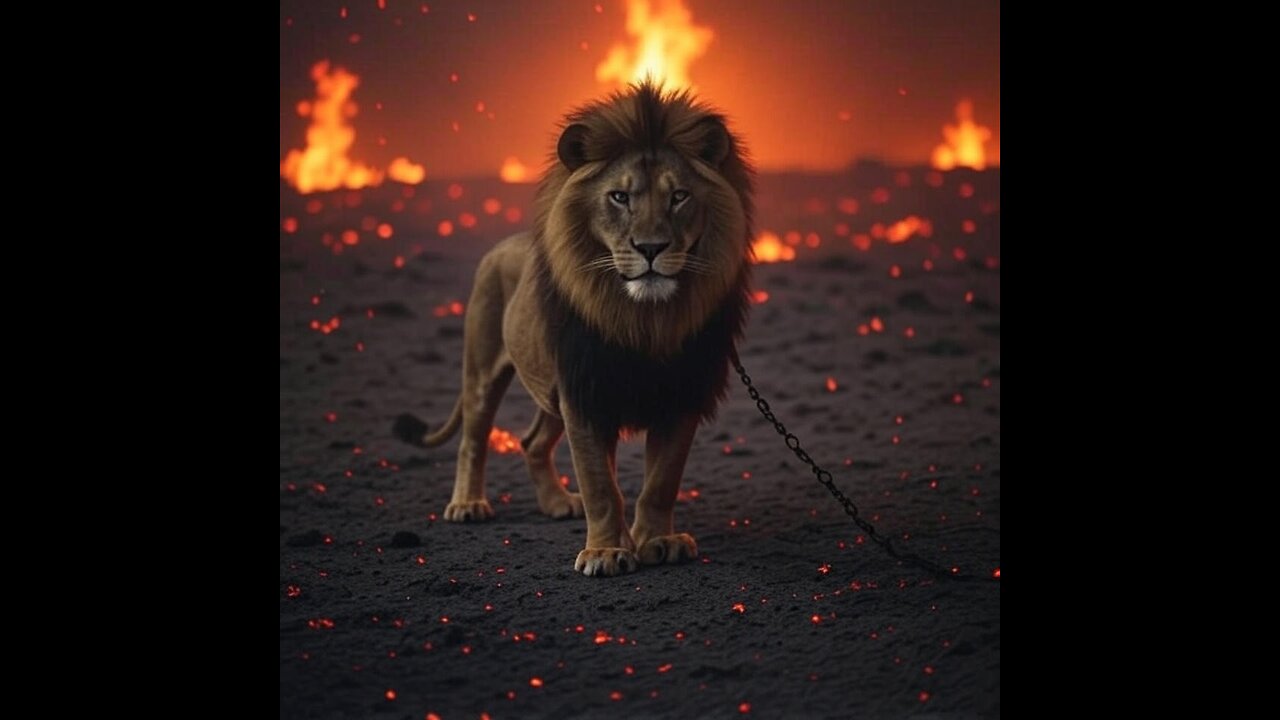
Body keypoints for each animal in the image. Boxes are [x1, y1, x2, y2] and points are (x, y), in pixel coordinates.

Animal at [396, 80, 754, 577]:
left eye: (679, 196)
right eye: (619, 197)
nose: (650, 248)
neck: (647, 318)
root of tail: (504, 245)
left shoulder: (680, 394)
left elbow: (660, 481)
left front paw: (656, 541)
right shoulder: (585, 394)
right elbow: (601, 485)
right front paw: (606, 551)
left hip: (550, 392)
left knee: (531, 442)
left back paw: (556, 503)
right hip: (485, 368)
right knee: (473, 437)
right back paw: (467, 505)